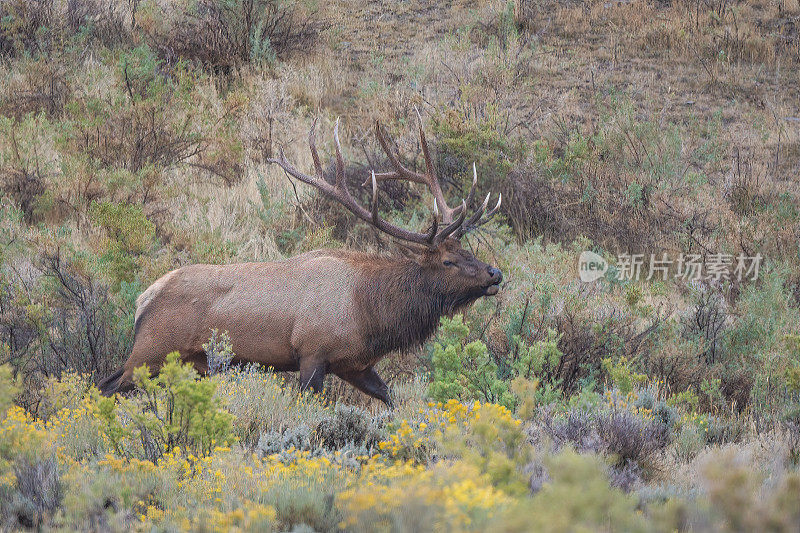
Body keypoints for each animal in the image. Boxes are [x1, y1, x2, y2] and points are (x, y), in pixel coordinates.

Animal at [98, 114, 500, 402]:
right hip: (151, 351)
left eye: (468, 251)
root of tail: (143, 299)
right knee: (106, 386)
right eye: (448, 261)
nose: (494, 273)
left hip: (183, 362)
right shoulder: (312, 352)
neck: (368, 312)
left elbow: (391, 398)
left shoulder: (354, 364)